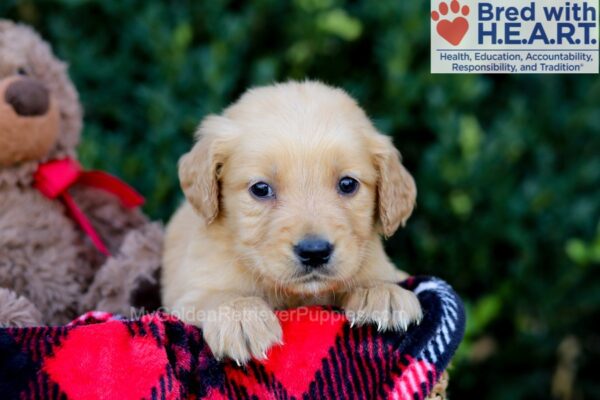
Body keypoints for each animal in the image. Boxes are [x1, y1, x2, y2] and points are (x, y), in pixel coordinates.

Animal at [162, 79, 420, 364]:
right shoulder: (188, 293)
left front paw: (381, 292)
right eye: (260, 189)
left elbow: (372, 277)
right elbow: (217, 294)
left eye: (348, 184)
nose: (315, 252)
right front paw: (241, 315)